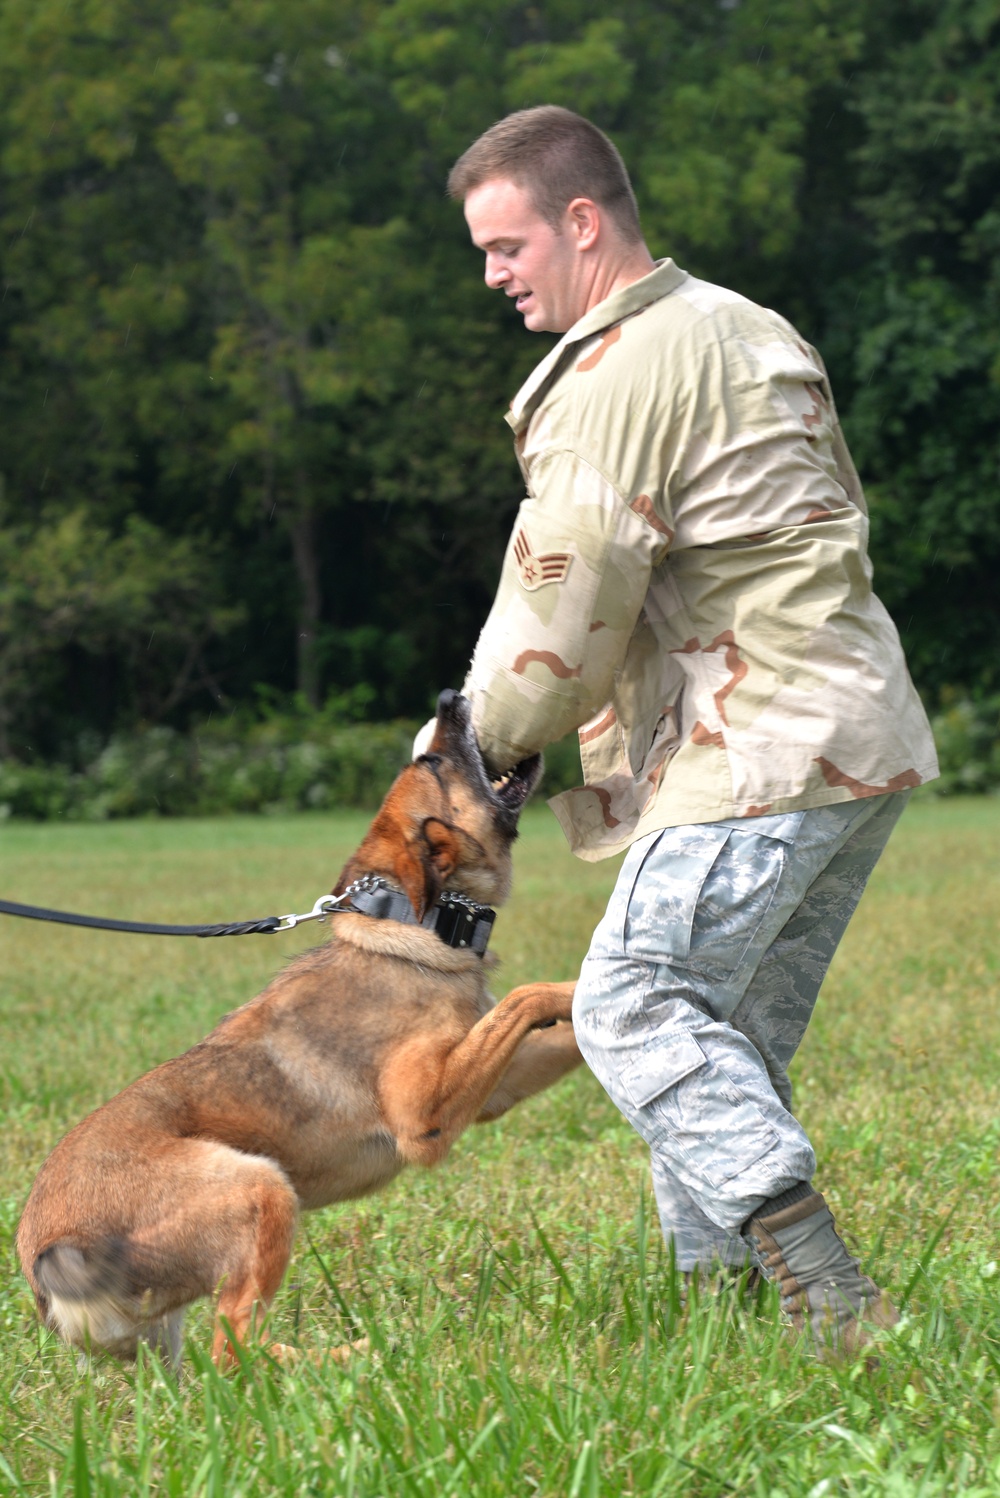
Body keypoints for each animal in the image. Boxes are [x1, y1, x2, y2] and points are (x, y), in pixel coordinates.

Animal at [17, 692, 577, 1372]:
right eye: (436, 761)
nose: (450, 699)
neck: (412, 922)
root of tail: (45, 1265)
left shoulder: (495, 1086)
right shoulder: (425, 1117)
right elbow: (529, 994)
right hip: (261, 1188)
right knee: (236, 1345)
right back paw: (358, 1353)